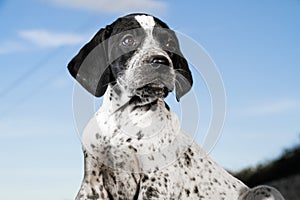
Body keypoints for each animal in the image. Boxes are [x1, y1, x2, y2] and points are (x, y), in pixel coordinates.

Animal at [67, 13, 284, 199]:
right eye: (127, 40)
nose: (160, 61)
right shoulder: (92, 183)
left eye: (169, 43)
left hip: (264, 190)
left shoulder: (154, 182)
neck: (124, 116)